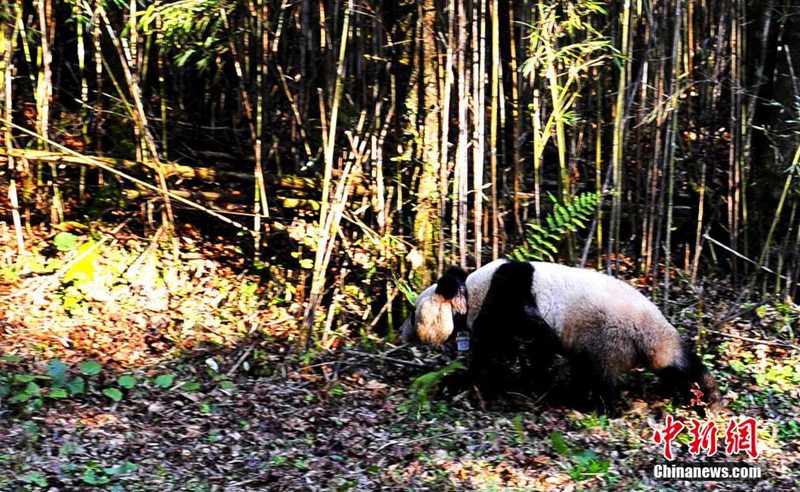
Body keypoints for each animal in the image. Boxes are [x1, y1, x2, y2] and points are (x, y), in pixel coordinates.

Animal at [401, 259, 719, 413]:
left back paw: (599, 405)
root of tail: (647, 330)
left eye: (413, 313)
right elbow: (532, 347)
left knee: (600, 372)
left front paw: (465, 381)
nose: (404, 332)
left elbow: (519, 340)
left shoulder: (506, 298)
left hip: (606, 335)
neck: (468, 292)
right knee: (676, 363)